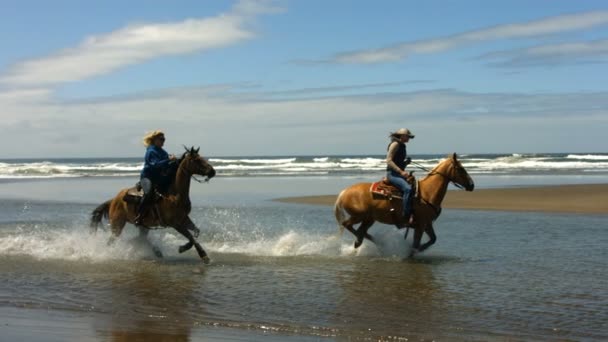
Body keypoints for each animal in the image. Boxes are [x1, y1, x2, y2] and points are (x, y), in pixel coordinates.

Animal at [334, 154, 472, 255]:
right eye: (461, 169)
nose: (471, 185)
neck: (427, 192)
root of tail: (344, 192)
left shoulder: (427, 224)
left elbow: (433, 239)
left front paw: (419, 249)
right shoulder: (421, 225)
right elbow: (416, 244)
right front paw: (411, 252)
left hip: (369, 219)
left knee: (361, 231)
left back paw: (370, 242)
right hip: (359, 216)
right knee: (347, 225)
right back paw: (361, 241)